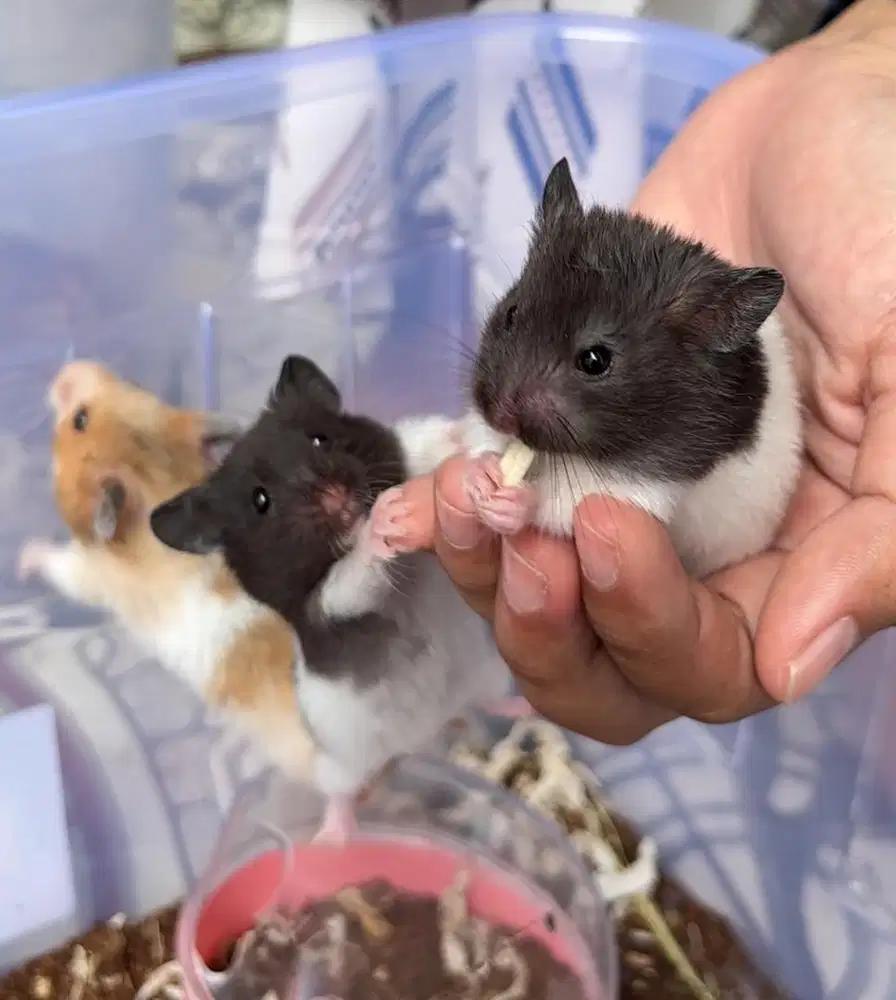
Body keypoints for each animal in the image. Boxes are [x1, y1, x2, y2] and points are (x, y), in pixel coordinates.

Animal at [16, 360, 319, 779]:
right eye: (134, 383)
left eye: (80, 420)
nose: (67, 370)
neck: (155, 475)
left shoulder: (92, 574)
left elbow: (60, 566)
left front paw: (22, 558)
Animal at [150, 355, 513, 841]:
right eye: (261, 500)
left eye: (320, 438)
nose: (335, 495)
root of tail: (418, 741)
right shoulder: (324, 605)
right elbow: (353, 577)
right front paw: (384, 520)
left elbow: (427, 442)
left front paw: (476, 446)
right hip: (343, 762)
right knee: (341, 795)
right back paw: (333, 839)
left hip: (487, 674)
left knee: (487, 702)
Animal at [462, 157, 803, 578]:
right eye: (511, 314)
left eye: (595, 360)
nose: (500, 417)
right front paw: (480, 476)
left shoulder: (647, 481)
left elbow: (564, 504)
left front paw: (511, 501)